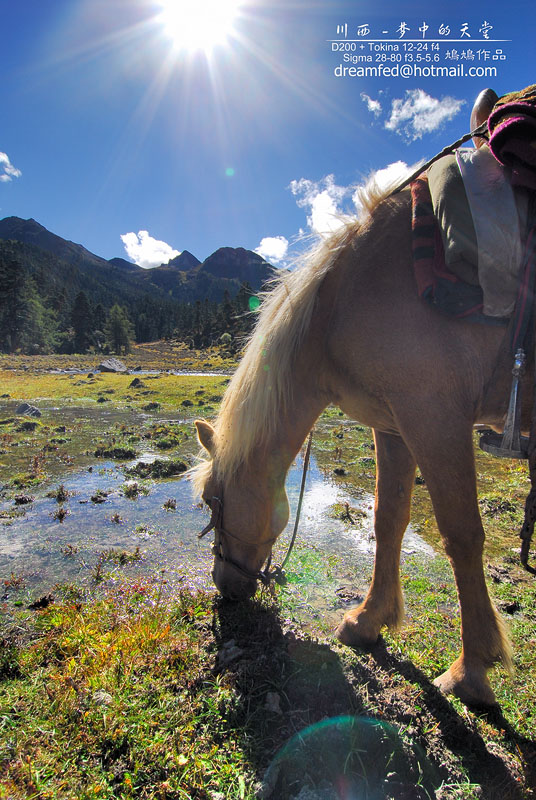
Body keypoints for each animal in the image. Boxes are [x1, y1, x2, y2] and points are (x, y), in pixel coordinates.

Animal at [193, 181, 528, 708]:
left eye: (212, 500)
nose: (221, 585)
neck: (343, 303)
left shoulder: (435, 419)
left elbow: (462, 537)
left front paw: (472, 669)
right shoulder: (393, 426)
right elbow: (388, 520)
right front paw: (369, 621)